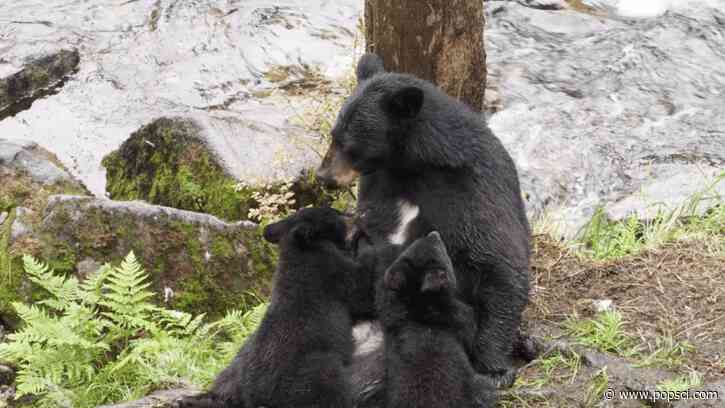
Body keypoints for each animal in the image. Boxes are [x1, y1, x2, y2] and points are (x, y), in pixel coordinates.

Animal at [174, 207, 363, 408]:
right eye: (335, 214)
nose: (355, 214)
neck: (298, 252)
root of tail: (254, 396)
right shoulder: (329, 272)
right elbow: (359, 288)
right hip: (312, 371)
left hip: (239, 362)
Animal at [316, 52, 531, 387]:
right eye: (333, 136)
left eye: (351, 146)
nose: (323, 177)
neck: (412, 166)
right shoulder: (379, 187)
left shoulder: (470, 190)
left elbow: (499, 260)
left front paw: (494, 368)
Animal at [377, 231, 497, 408]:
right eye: (440, 251)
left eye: (411, 246)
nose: (434, 233)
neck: (418, 308)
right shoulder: (463, 319)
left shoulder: (390, 312)